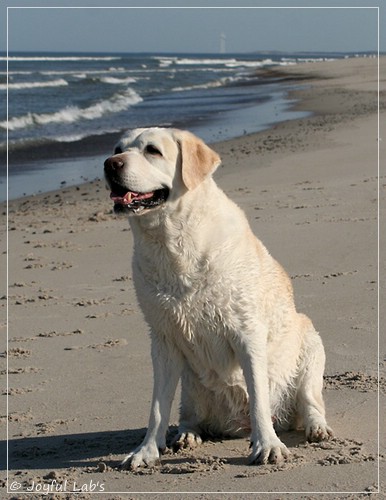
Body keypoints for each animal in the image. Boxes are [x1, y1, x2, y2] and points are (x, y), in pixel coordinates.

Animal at [104, 128, 334, 468]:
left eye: (152, 151)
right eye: (117, 149)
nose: (111, 164)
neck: (172, 241)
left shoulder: (247, 332)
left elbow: (259, 398)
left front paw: (267, 445)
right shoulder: (163, 339)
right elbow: (157, 407)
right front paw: (146, 451)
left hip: (310, 344)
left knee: (310, 401)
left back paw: (317, 429)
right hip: (191, 386)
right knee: (188, 415)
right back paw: (187, 435)